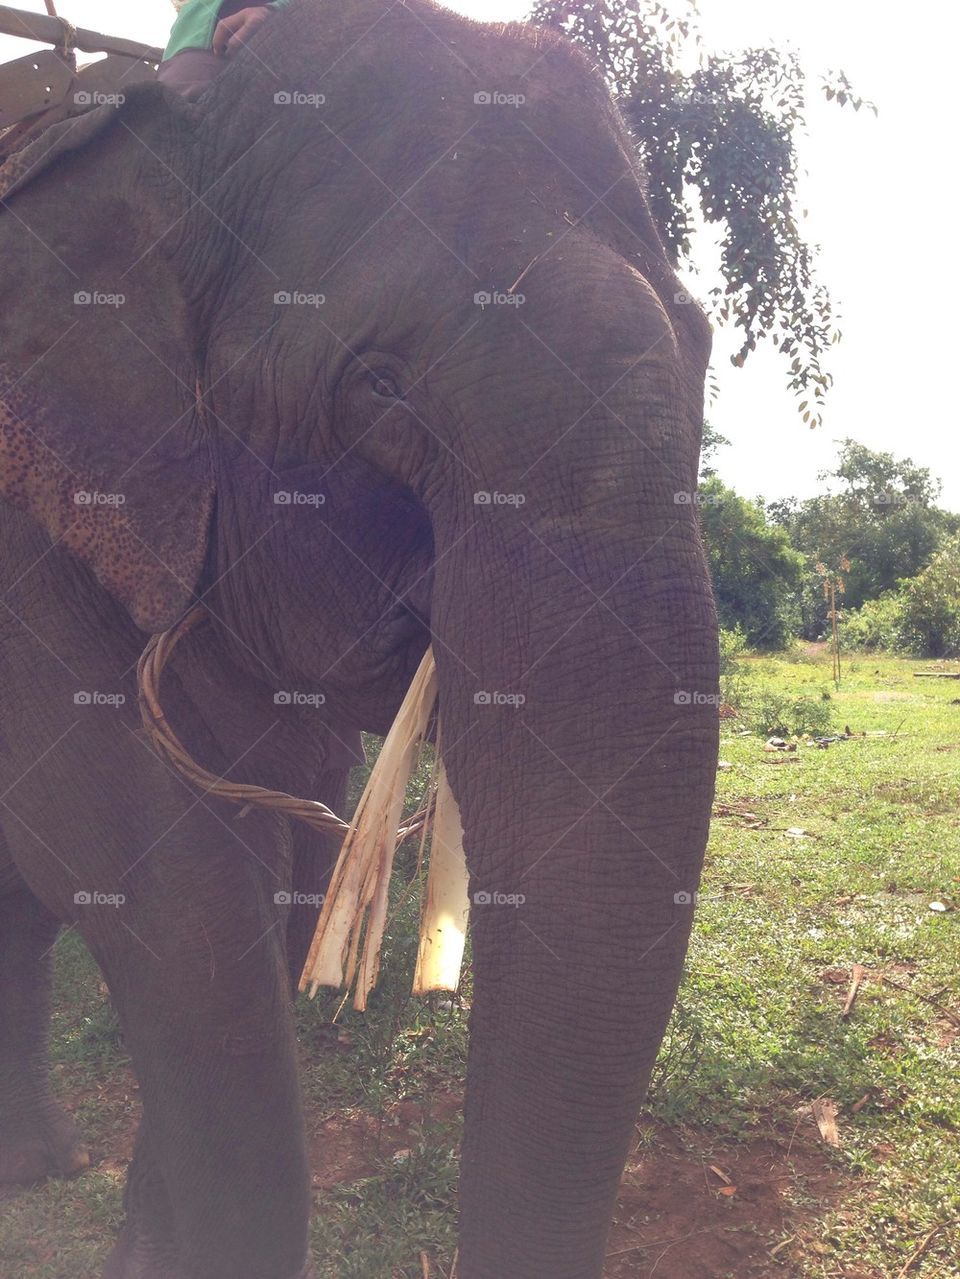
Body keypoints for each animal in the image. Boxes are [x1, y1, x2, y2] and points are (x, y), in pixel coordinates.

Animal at [0, 1, 718, 1276]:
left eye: (706, 348)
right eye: (380, 389)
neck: (189, 120)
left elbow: (277, 879)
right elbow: (172, 890)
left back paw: (36, 1167)